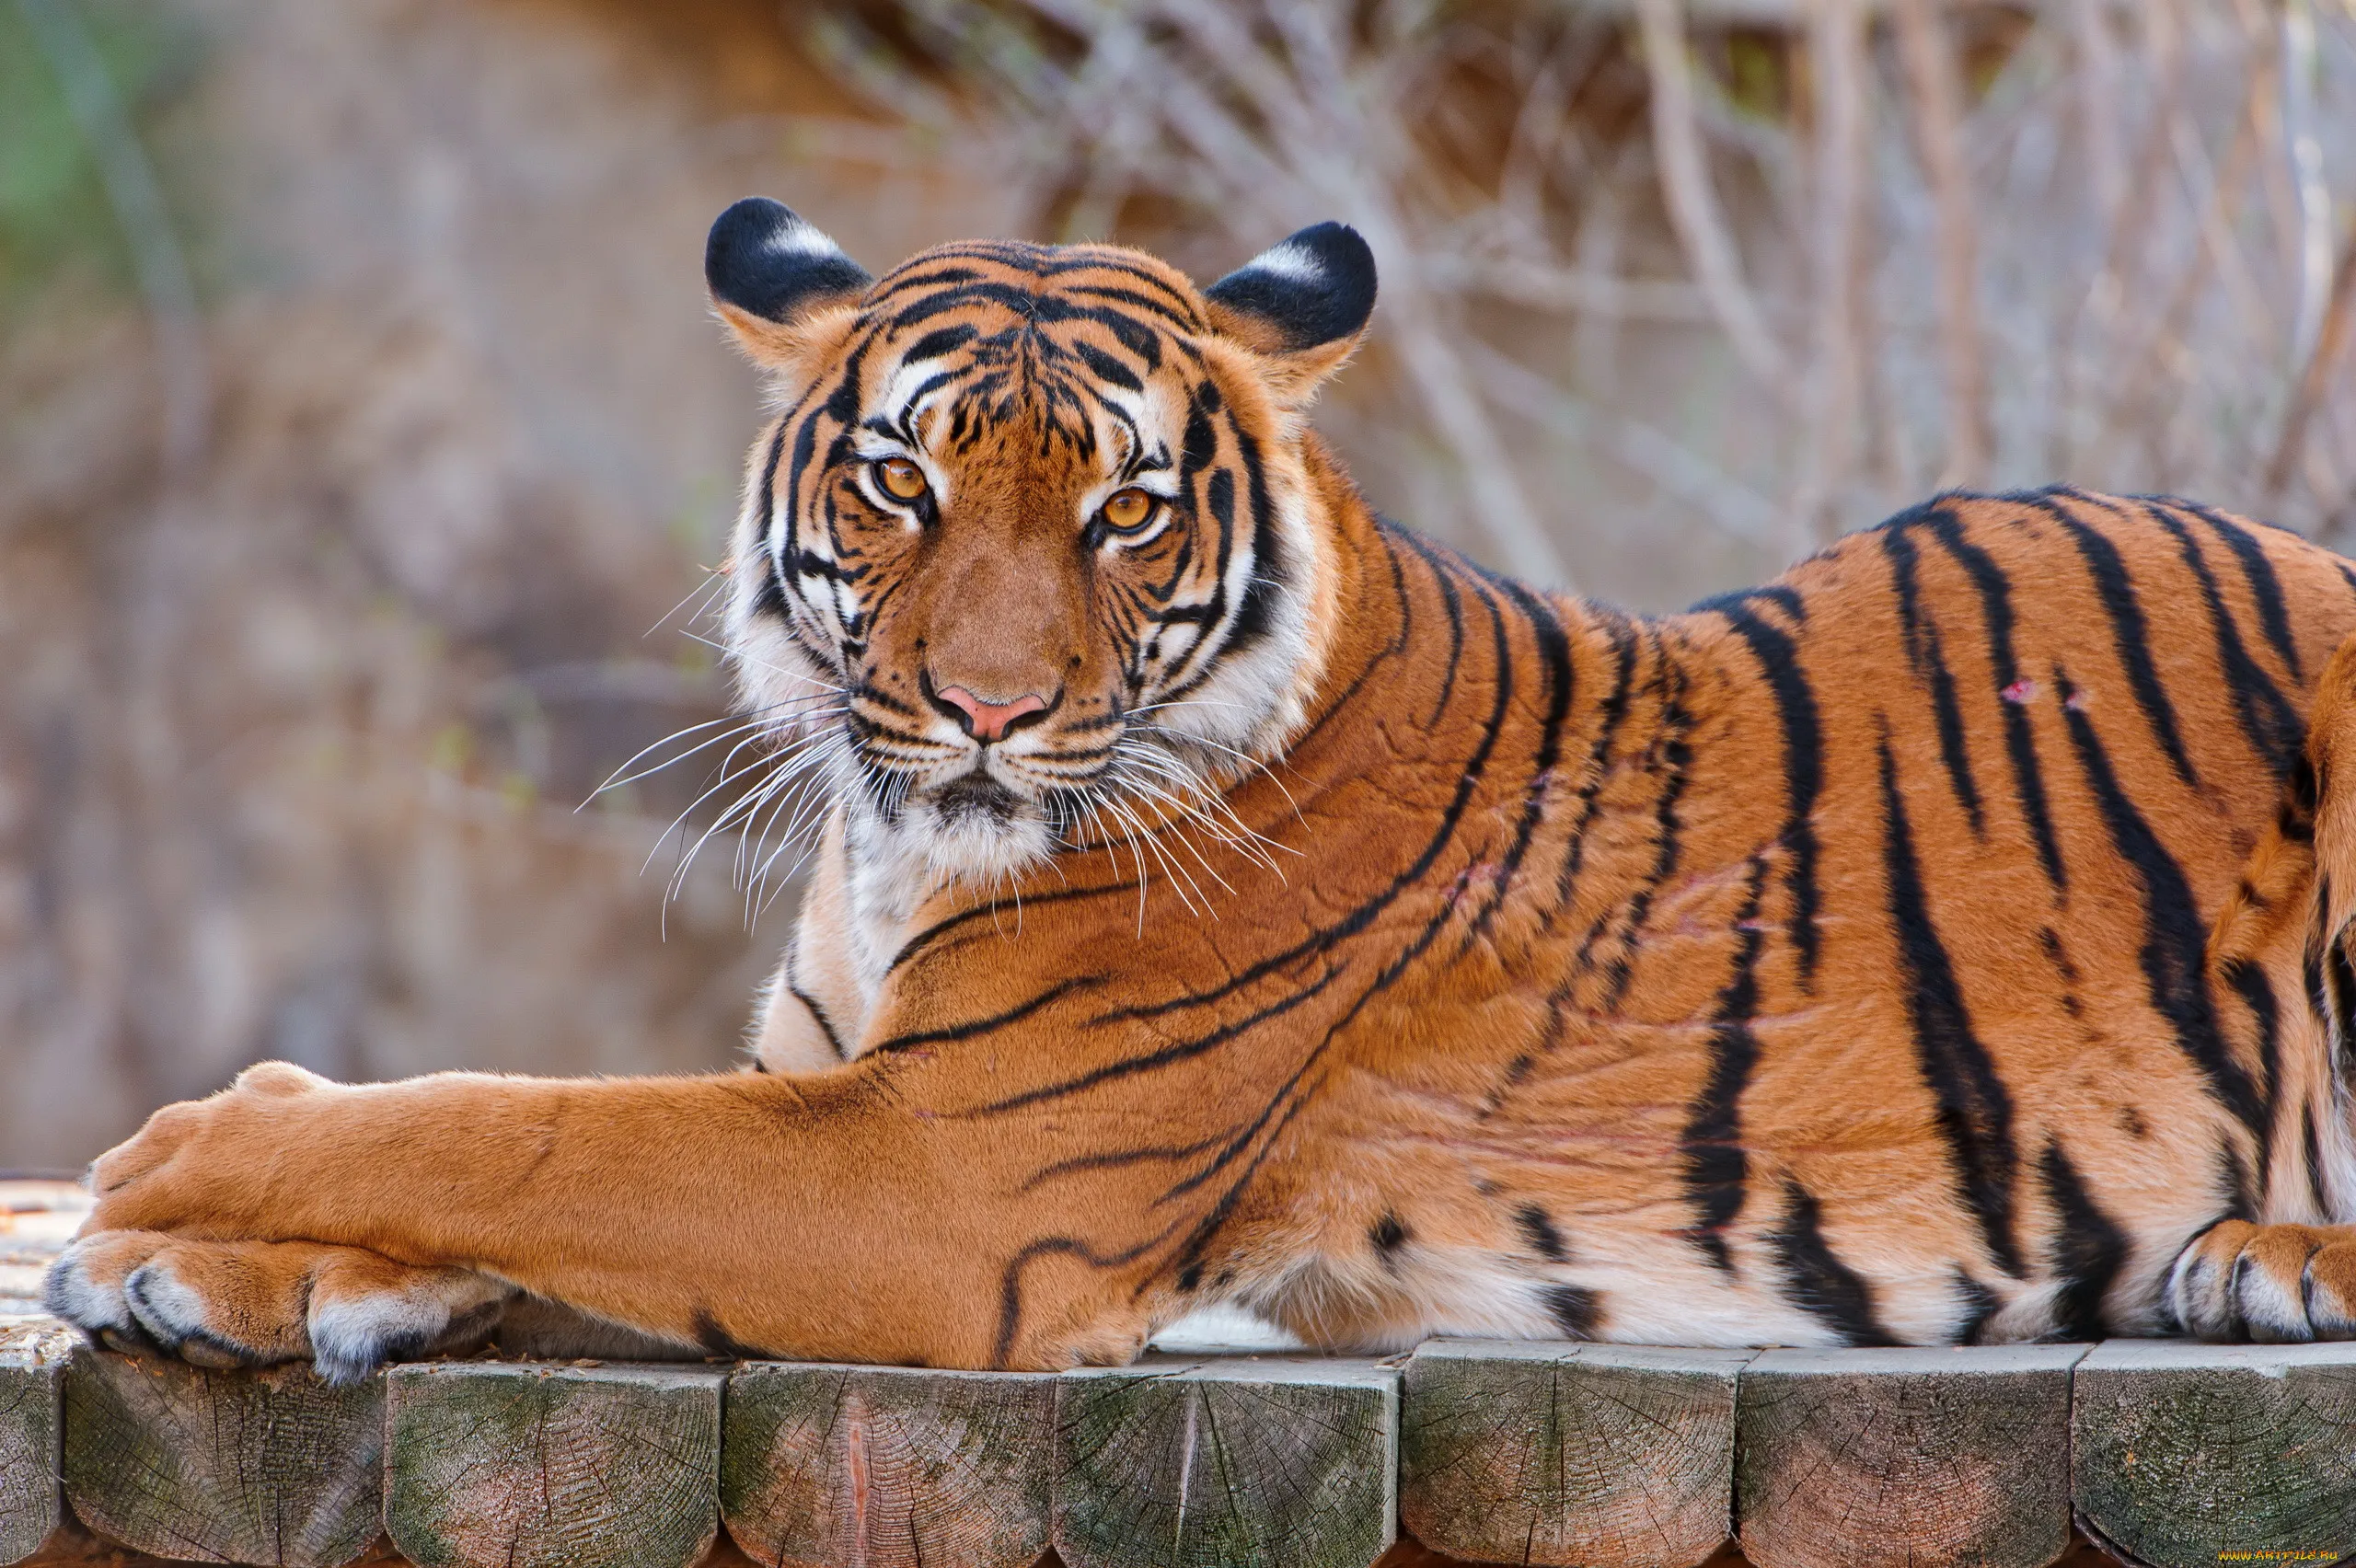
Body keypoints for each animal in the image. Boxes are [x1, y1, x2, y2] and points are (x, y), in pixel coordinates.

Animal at [37, 199, 2356, 1384]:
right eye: (900, 484)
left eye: (1127, 510)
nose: (979, 710)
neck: (896, 853)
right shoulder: (830, 1093)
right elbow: (538, 1179)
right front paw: (225, 1270)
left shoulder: (944, 1179)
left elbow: (528, 1128)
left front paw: (180, 1159)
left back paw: (2272, 1255)